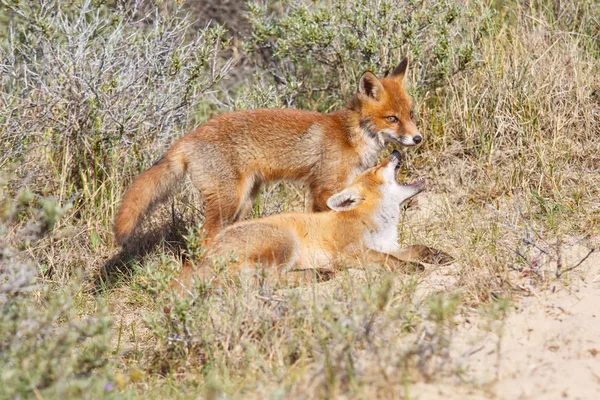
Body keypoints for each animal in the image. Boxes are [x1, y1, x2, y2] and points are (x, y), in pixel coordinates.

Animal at [115, 58, 420, 245]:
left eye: (410, 114)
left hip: (244, 201)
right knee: (206, 238)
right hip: (228, 202)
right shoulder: (322, 188)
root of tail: (187, 138)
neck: (351, 136)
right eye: (392, 119)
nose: (417, 138)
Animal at [171, 150, 452, 290]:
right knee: (267, 281)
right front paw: (412, 268)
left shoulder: (389, 245)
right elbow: (389, 261)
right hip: (286, 242)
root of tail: (204, 255)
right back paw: (319, 274)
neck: (379, 224)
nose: (394, 151)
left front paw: (436, 255)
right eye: (376, 169)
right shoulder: (351, 252)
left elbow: (417, 248)